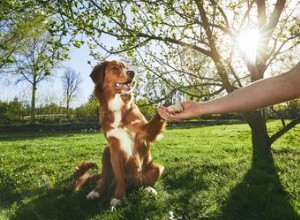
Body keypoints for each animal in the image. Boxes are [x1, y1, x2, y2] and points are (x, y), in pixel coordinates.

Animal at [73, 60, 166, 208]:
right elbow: (119, 177)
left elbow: (157, 119)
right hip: (106, 151)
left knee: (140, 183)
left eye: (127, 68)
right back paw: (96, 192)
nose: (132, 73)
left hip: (157, 168)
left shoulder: (145, 133)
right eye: (114, 68)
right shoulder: (114, 147)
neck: (118, 107)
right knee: (105, 180)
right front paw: (118, 197)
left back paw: (148, 189)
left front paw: (168, 109)